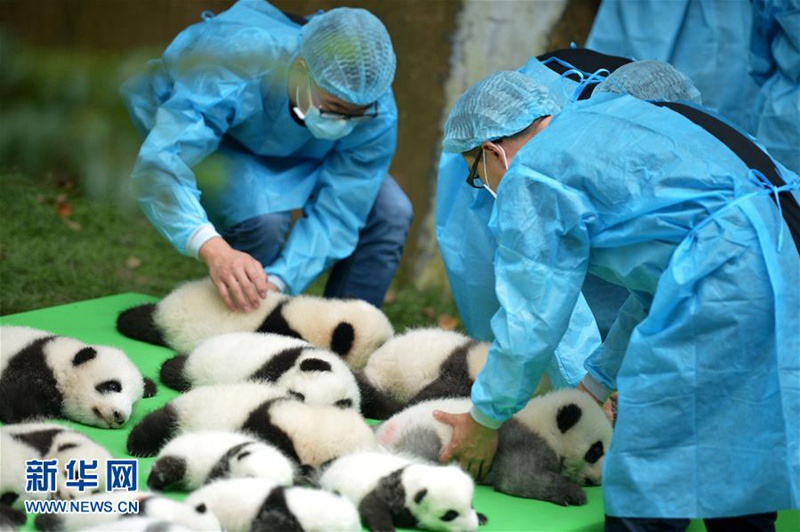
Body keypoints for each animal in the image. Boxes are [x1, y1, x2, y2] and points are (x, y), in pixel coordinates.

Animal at [0, 326, 157, 427]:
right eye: (113, 386)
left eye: (133, 404)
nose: (120, 417)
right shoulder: (32, 365)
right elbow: (15, 395)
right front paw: (30, 418)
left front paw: (149, 386)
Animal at [319, 450, 486, 532]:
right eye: (450, 515)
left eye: (471, 505)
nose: (473, 528)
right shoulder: (390, 490)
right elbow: (372, 504)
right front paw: (384, 528)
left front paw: (481, 517)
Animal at [374, 389, 613, 507]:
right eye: (595, 451)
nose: (601, 478)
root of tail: (384, 435)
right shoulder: (522, 440)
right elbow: (519, 478)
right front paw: (573, 494)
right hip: (424, 434)